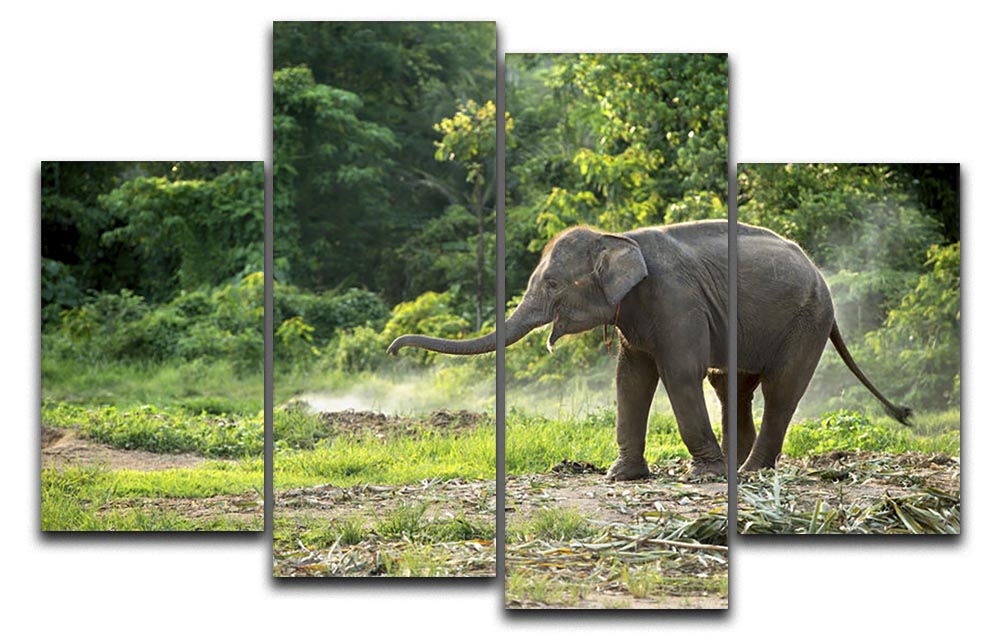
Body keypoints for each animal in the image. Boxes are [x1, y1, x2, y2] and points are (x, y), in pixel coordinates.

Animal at [386, 220, 912, 480]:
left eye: (551, 284)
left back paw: (749, 471)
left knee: (780, 391)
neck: (618, 237)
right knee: (731, 385)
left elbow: (678, 373)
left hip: (807, 322)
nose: (392, 350)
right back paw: (737, 465)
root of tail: (821, 274)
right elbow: (631, 379)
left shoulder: (676, 300)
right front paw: (621, 476)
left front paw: (702, 476)